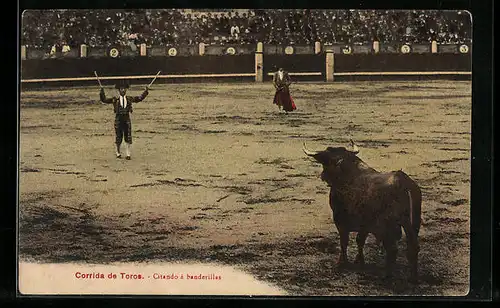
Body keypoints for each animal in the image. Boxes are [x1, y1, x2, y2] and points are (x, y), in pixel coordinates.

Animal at [304, 141, 422, 280]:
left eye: (325, 162)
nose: (323, 176)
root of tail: (403, 183)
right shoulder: (364, 224)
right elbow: (360, 240)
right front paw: (359, 260)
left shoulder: (339, 219)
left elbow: (344, 241)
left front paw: (342, 262)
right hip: (413, 223)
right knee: (413, 247)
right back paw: (413, 277)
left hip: (389, 226)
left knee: (392, 249)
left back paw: (387, 276)